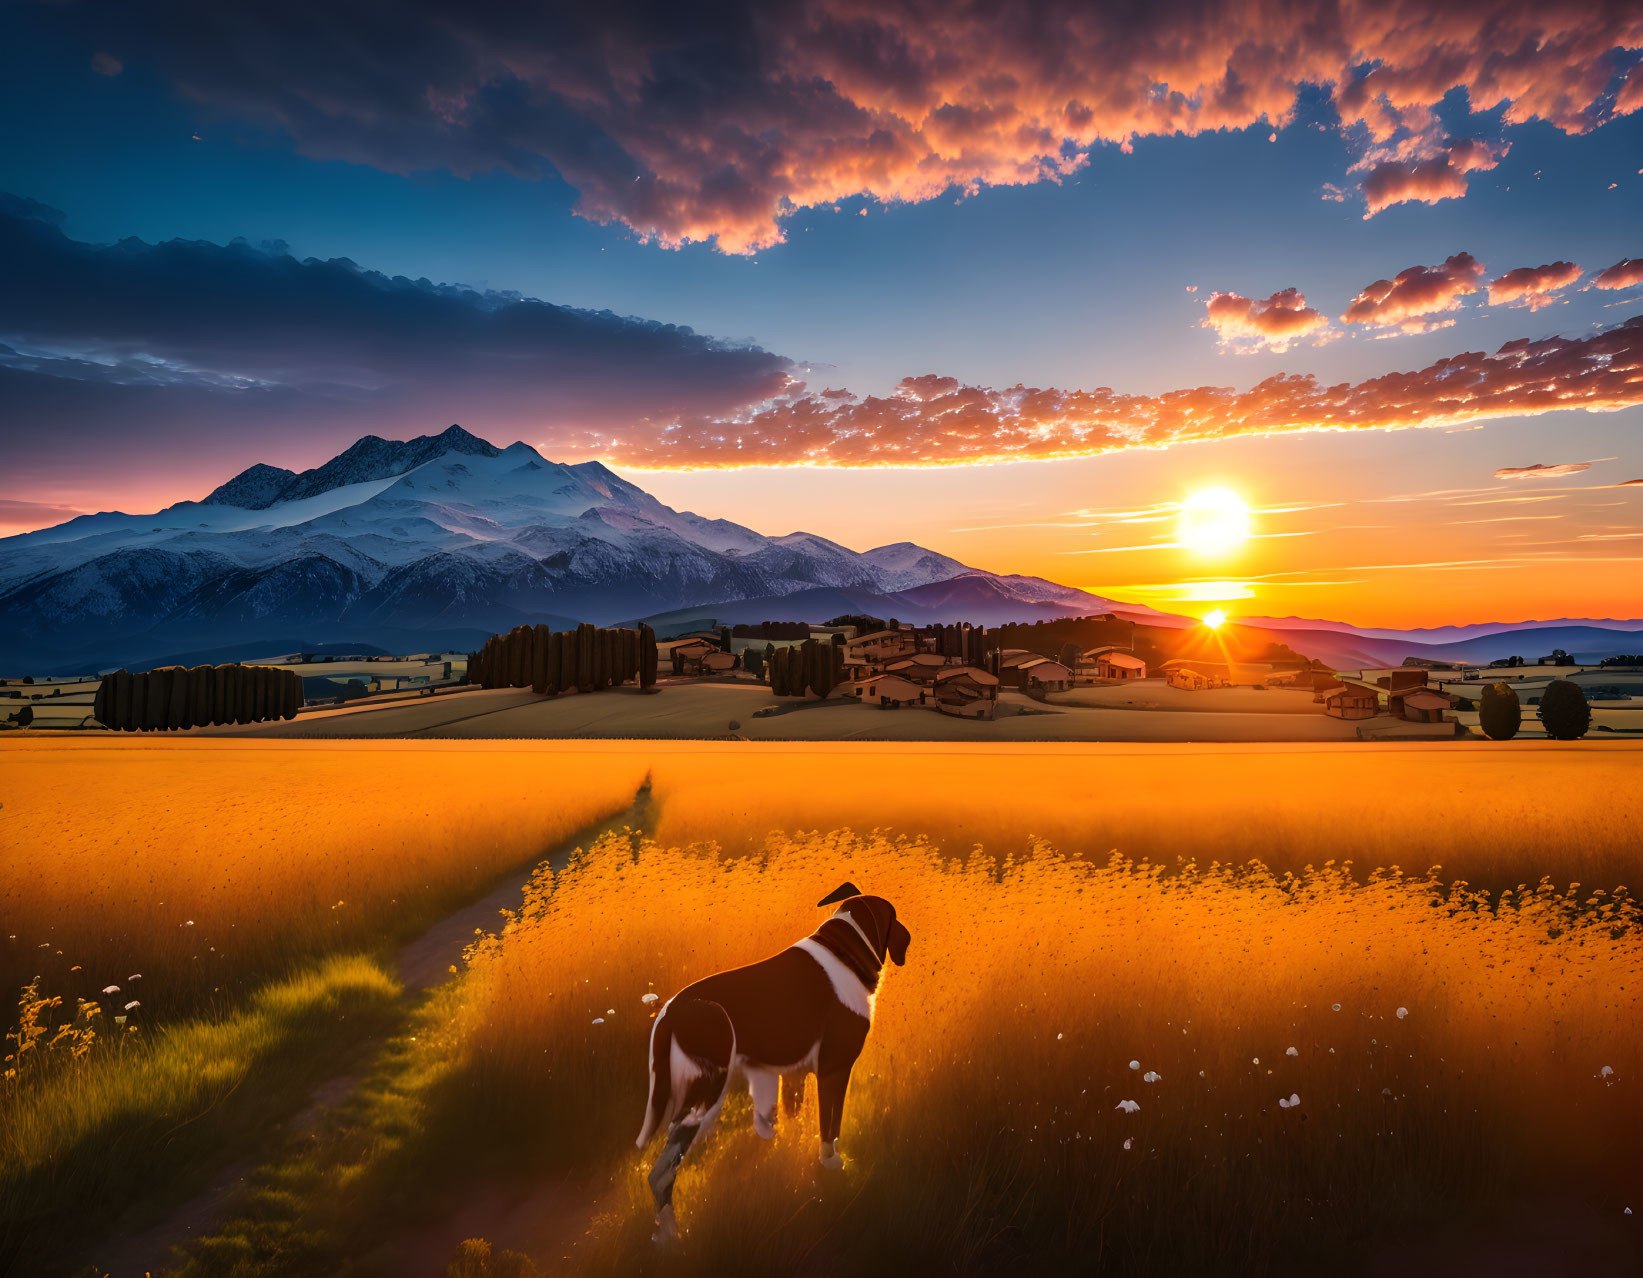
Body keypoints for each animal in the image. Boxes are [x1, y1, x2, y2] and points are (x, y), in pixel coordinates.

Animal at [630, 873, 913, 1235]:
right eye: (895, 916)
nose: (910, 935)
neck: (844, 950)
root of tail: (669, 1014)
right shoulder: (834, 1071)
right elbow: (830, 1127)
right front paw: (831, 1164)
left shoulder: (788, 1077)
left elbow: (784, 1124)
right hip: (705, 1096)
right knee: (661, 1172)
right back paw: (670, 1236)